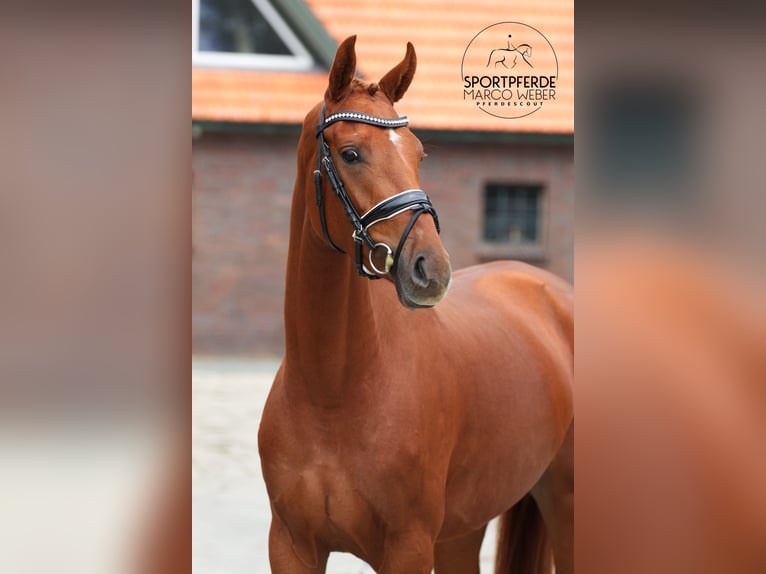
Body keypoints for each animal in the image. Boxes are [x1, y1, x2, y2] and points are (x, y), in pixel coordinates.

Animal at [260, 37, 572, 574]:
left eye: (419, 154)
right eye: (351, 153)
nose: (432, 269)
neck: (332, 392)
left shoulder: (407, 547)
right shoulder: (290, 545)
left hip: (566, 504)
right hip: (463, 532)